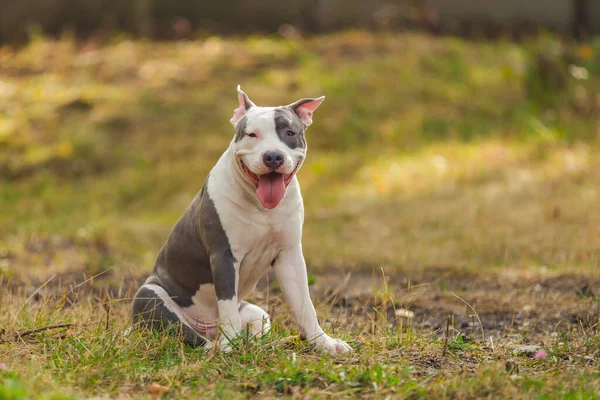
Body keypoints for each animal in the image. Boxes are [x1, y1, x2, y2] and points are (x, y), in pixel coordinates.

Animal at [132, 86, 352, 354]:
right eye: (252, 134)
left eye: (290, 133)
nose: (273, 156)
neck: (262, 207)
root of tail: (208, 326)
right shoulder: (224, 256)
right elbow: (227, 306)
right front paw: (231, 346)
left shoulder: (289, 255)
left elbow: (304, 304)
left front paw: (323, 342)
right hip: (149, 295)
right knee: (193, 337)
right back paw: (220, 347)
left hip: (257, 312)